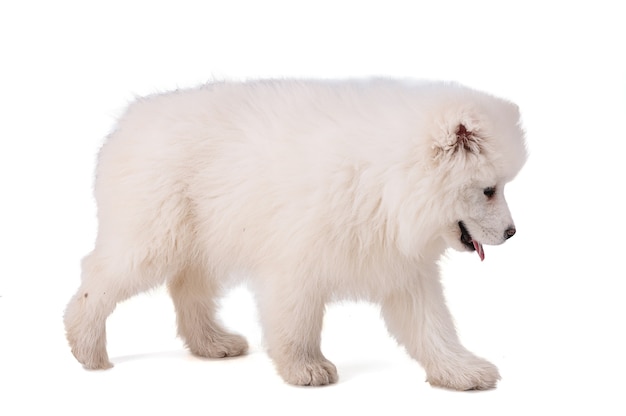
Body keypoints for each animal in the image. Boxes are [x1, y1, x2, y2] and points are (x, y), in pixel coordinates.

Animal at [63, 78, 524, 390]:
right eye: (488, 189)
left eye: (502, 185)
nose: (512, 232)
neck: (387, 181)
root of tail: (129, 119)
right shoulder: (297, 258)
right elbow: (296, 319)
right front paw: (306, 368)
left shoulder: (400, 266)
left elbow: (432, 326)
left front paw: (460, 371)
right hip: (154, 234)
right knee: (98, 276)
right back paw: (85, 346)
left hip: (202, 235)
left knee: (187, 287)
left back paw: (212, 343)